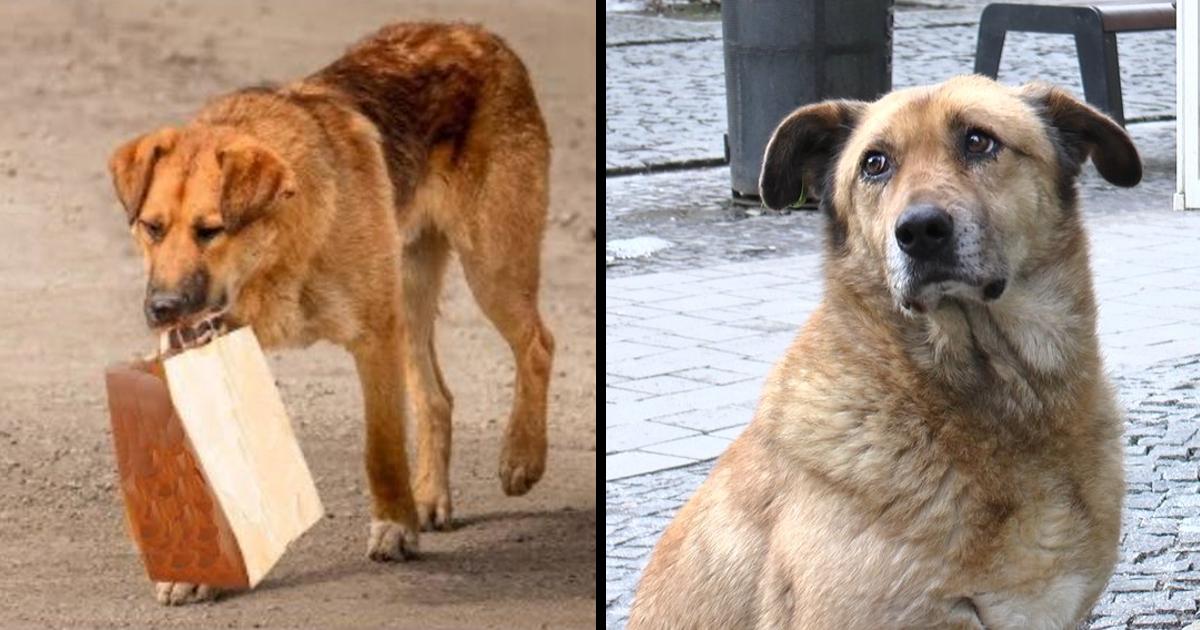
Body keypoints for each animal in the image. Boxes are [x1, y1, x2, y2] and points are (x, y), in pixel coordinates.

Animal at [108, 20, 552, 604]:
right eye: (152, 228)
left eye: (210, 230)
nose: (161, 310)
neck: (277, 252)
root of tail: (477, 34)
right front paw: (192, 569)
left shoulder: (373, 336)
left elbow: (381, 448)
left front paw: (394, 527)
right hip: (411, 295)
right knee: (437, 397)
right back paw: (431, 496)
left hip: (490, 268)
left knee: (537, 345)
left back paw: (521, 457)